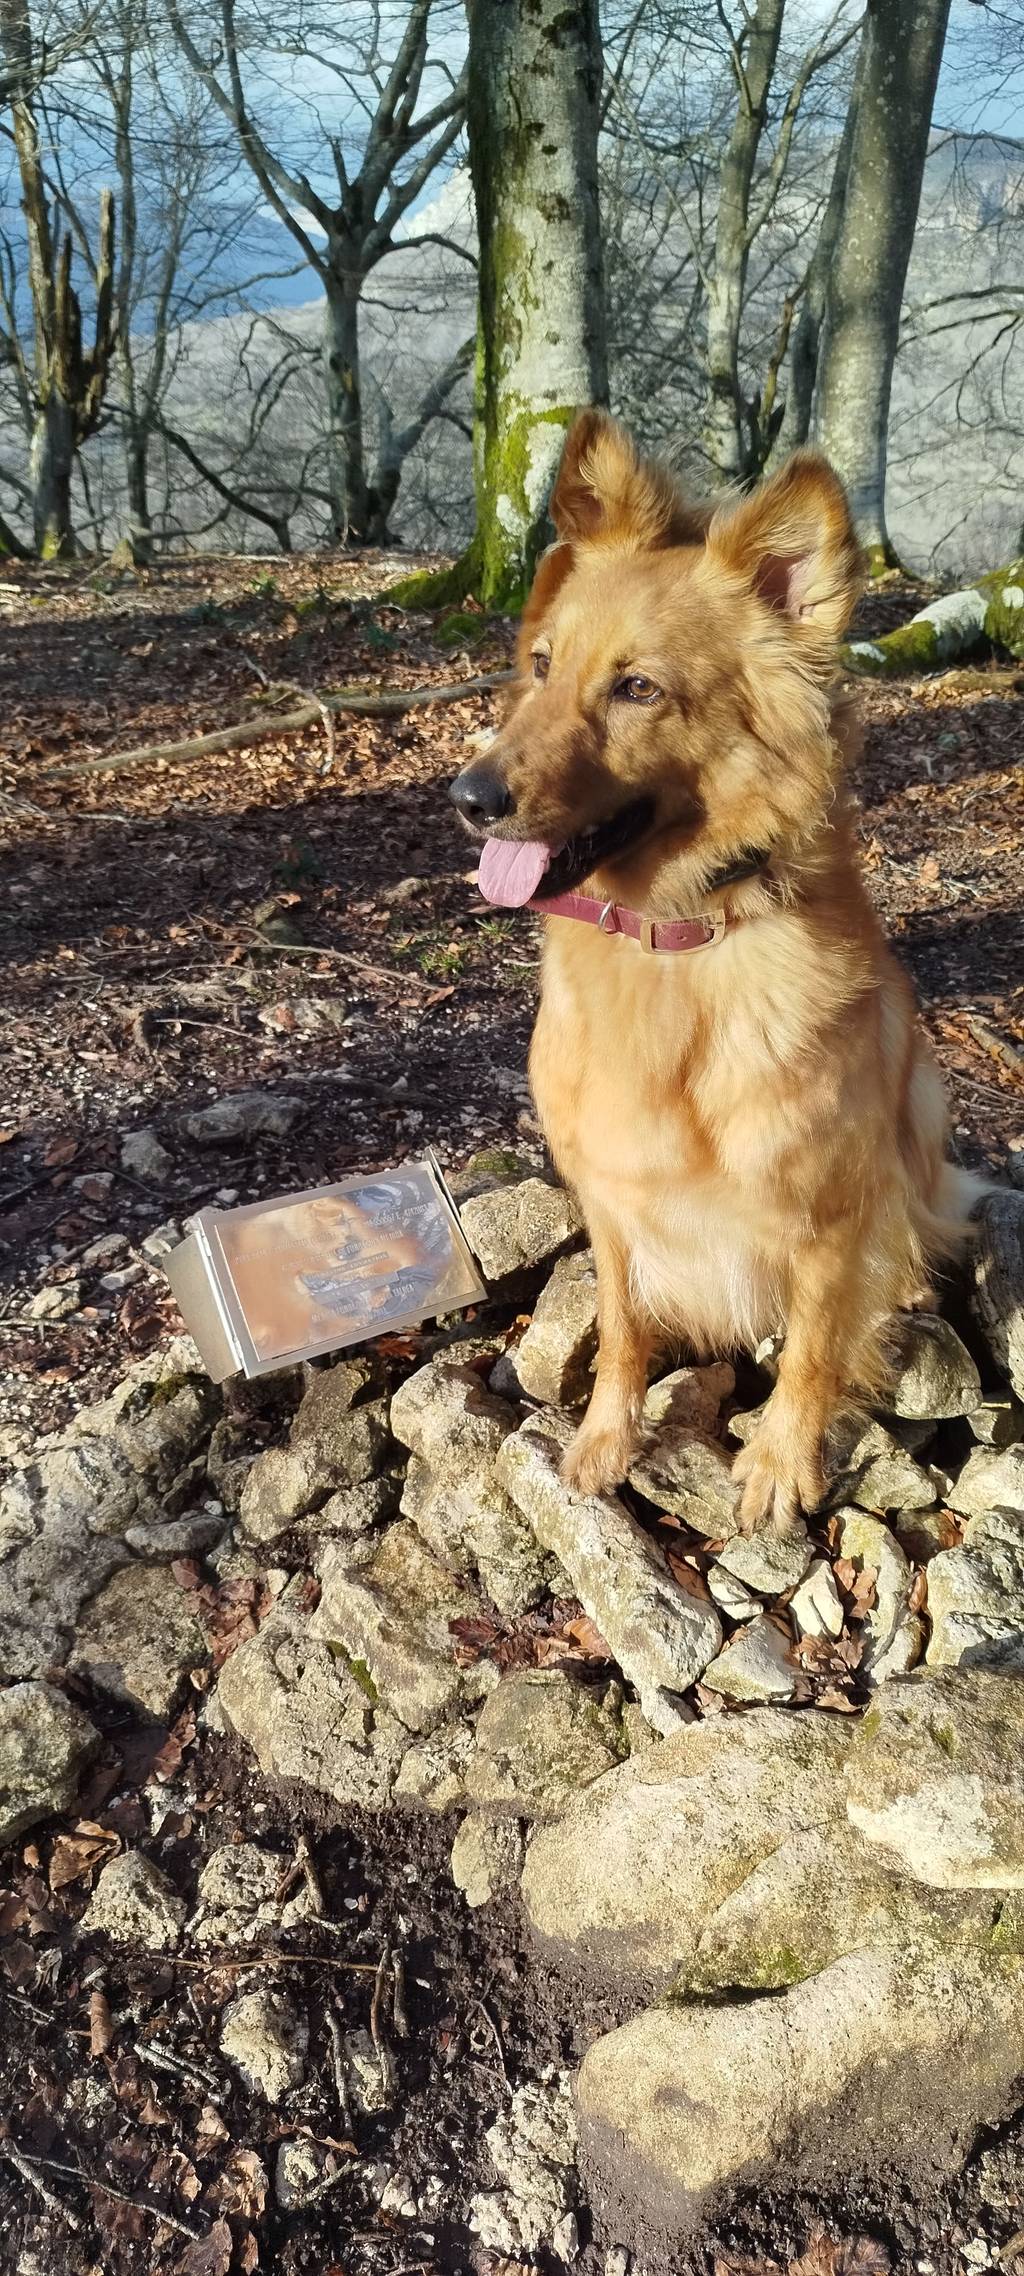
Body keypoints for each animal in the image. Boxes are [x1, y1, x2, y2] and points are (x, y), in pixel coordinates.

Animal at [450, 409, 976, 1535]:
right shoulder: (609, 1203)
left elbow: (813, 1347)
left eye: (637, 687)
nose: (468, 799)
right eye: (542, 664)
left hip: (919, 1091)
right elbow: (619, 1328)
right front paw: (605, 1439)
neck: (677, 936)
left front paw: (780, 1461)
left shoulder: (827, 1215)